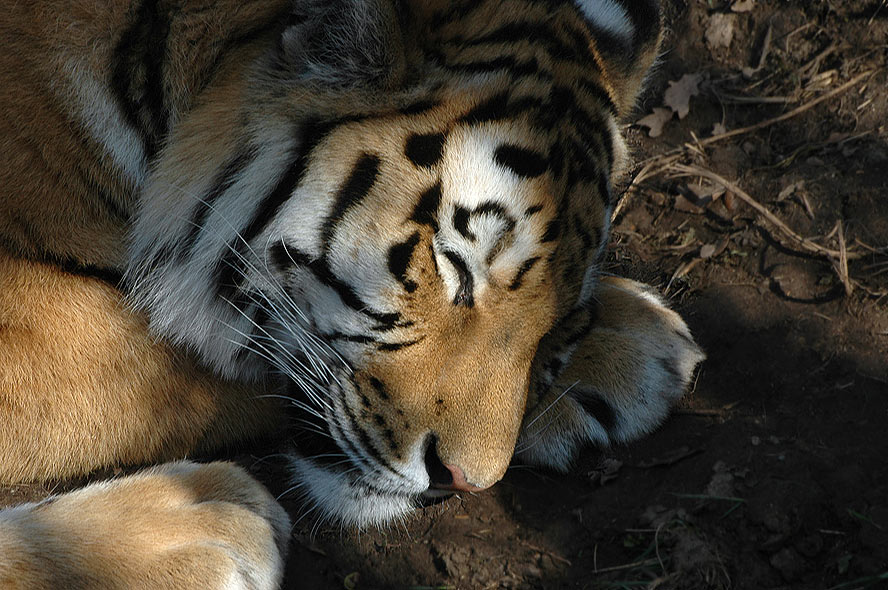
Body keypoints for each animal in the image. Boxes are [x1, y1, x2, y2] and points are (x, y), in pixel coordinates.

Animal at [1, 0, 708, 588]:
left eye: (561, 323)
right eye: (454, 267)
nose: (459, 485)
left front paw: (627, 337)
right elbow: (161, 356)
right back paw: (199, 529)